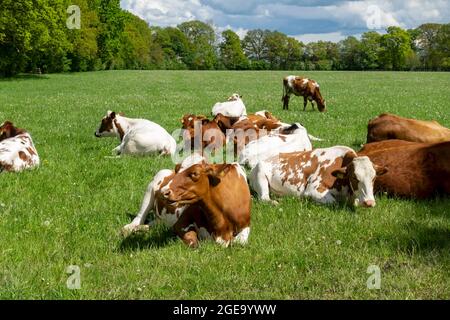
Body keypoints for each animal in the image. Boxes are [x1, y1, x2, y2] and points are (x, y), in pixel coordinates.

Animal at [121, 154, 251, 249]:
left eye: (194, 173)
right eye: (178, 170)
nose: (164, 191)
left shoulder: (246, 224)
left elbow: (240, 242)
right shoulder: (180, 222)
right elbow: (193, 241)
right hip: (153, 184)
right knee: (139, 216)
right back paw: (128, 228)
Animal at [250, 146, 386, 206]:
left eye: (374, 178)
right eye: (354, 177)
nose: (369, 202)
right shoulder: (313, 189)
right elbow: (334, 202)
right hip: (260, 175)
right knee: (264, 198)